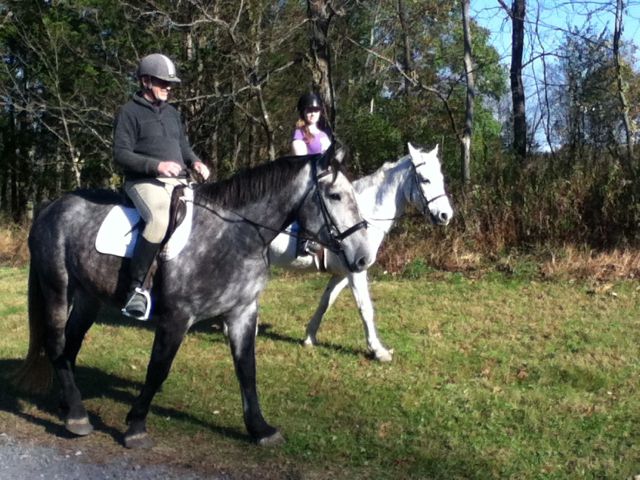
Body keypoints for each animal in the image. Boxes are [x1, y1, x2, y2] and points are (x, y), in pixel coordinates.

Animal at [268, 144, 452, 362]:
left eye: (440, 177)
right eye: (425, 179)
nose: (446, 215)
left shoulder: (343, 273)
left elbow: (325, 302)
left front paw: (309, 338)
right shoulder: (356, 272)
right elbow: (365, 308)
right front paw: (378, 351)